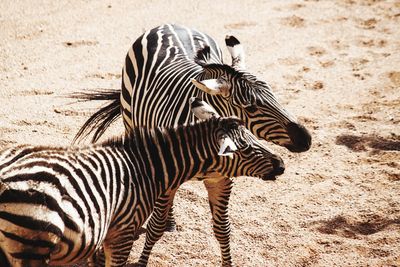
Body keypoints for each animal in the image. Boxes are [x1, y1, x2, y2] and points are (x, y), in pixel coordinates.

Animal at [0, 99, 284, 266]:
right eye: (245, 148)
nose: (282, 164)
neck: (145, 167)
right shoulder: (124, 230)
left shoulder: (106, 231)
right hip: (32, 246)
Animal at [75, 24, 310, 266]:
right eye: (251, 108)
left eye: (274, 95)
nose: (306, 139)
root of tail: (168, 24)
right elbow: (155, 227)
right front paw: (142, 261)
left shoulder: (222, 180)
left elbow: (222, 229)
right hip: (131, 121)